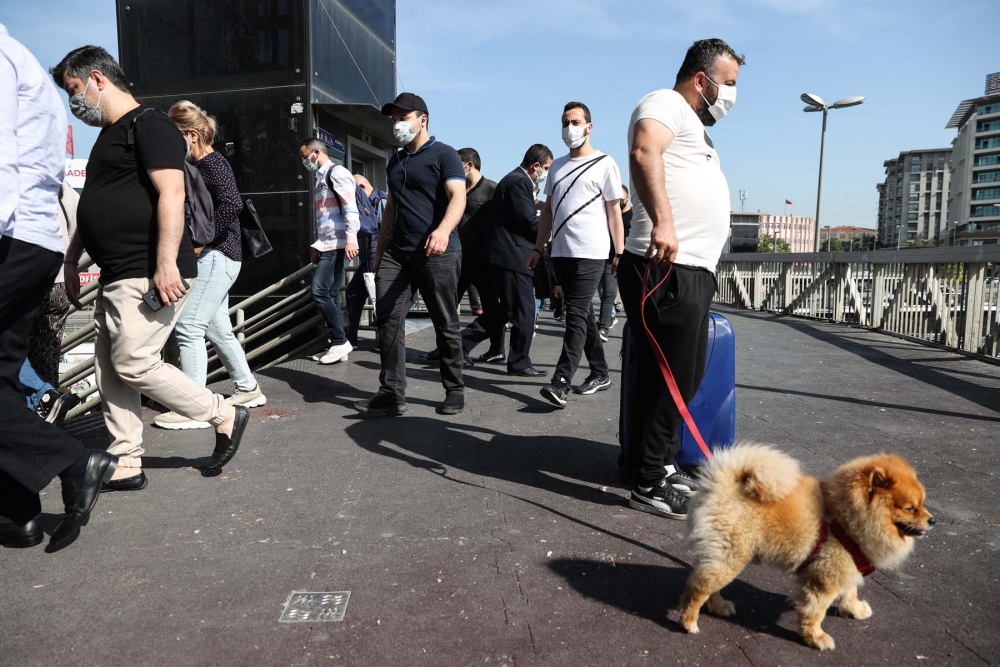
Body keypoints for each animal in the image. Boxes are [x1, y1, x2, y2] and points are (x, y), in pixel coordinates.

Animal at [676, 446, 932, 648]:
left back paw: (718, 606)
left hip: (723, 556)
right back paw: (689, 622)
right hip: (731, 556)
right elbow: (815, 612)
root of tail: (721, 485)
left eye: (923, 503)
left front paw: (857, 610)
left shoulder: (846, 568)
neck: (845, 519)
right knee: (698, 586)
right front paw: (816, 638)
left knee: (707, 581)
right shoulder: (824, 580)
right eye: (909, 508)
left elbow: (850, 593)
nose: (933, 520)